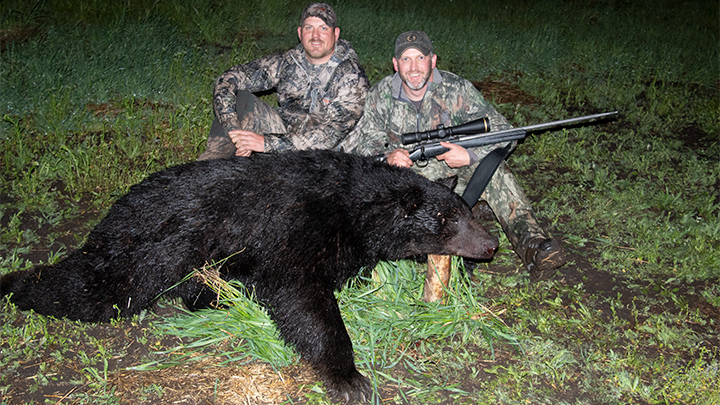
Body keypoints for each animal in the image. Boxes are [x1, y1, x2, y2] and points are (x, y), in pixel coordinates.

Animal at [0, 150, 498, 402]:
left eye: (468, 212)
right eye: (449, 220)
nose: (491, 245)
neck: (355, 206)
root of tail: (115, 208)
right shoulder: (294, 228)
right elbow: (301, 298)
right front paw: (348, 378)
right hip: (147, 246)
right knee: (95, 288)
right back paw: (14, 282)